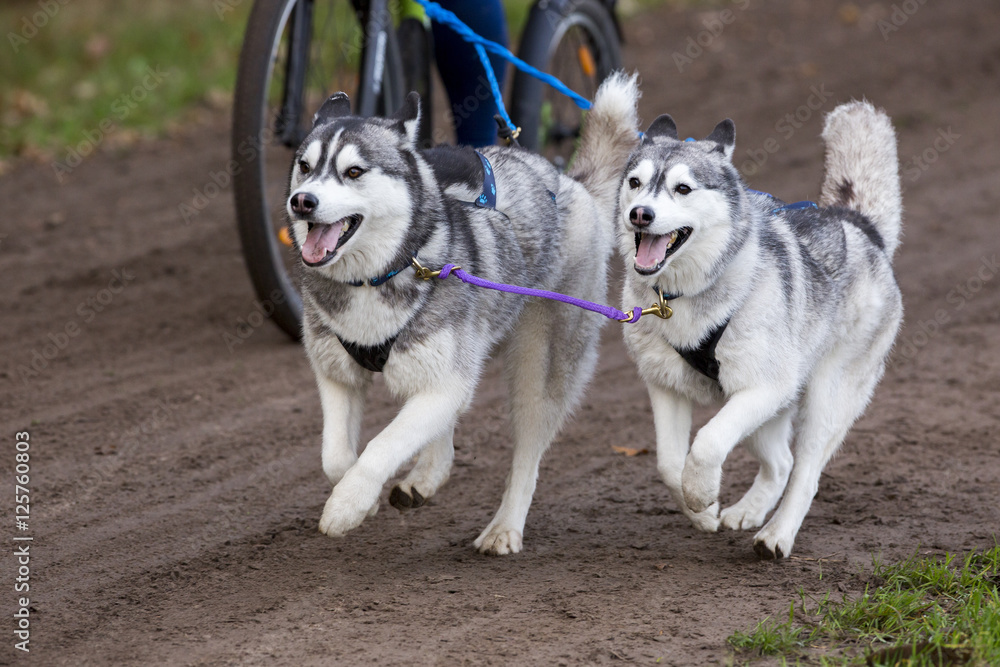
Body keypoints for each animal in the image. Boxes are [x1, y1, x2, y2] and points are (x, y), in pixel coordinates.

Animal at [286, 72, 636, 552]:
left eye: (353, 172)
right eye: (305, 166)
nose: (302, 201)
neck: (379, 276)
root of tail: (570, 183)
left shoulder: (443, 381)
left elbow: (381, 446)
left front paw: (347, 505)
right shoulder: (337, 373)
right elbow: (335, 457)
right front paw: (361, 496)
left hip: (539, 366)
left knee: (527, 452)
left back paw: (504, 527)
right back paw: (427, 475)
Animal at [620, 100, 904, 560]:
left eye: (683, 189)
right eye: (635, 183)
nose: (640, 214)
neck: (686, 296)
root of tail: (855, 222)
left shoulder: (764, 387)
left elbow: (708, 441)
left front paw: (701, 492)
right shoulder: (665, 385)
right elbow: (667, 462)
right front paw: (703, 511)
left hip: (821, 399)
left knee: (805, 472)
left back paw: (777, 534)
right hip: (767, 411)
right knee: (780, 463)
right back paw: (748, 511)